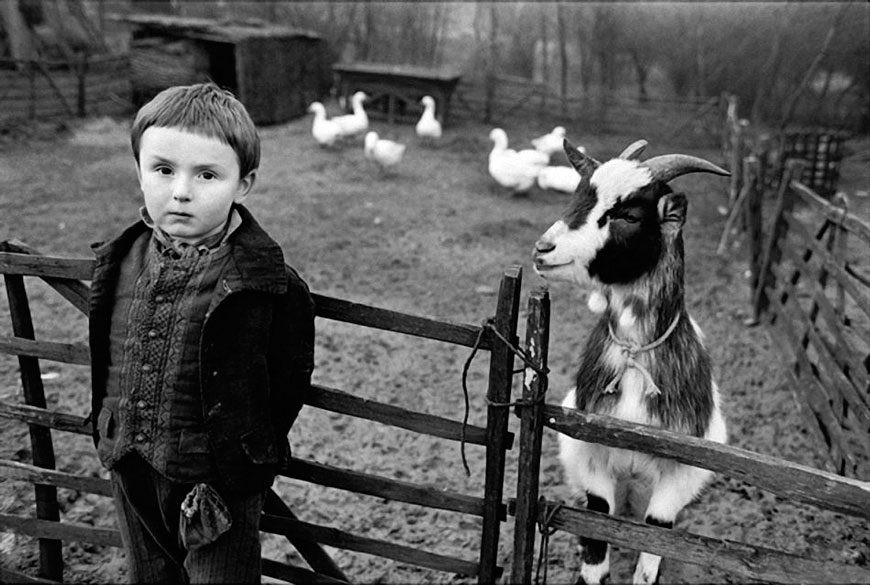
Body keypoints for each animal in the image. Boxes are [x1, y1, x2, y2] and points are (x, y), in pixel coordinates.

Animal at [536, 139, 732, 580]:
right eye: (579, 196)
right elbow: (595, 538)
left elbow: (653, 545)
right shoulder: (592, 458)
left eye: (627, 214)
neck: (634, 357)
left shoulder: (678, 475)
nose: (543, 249)